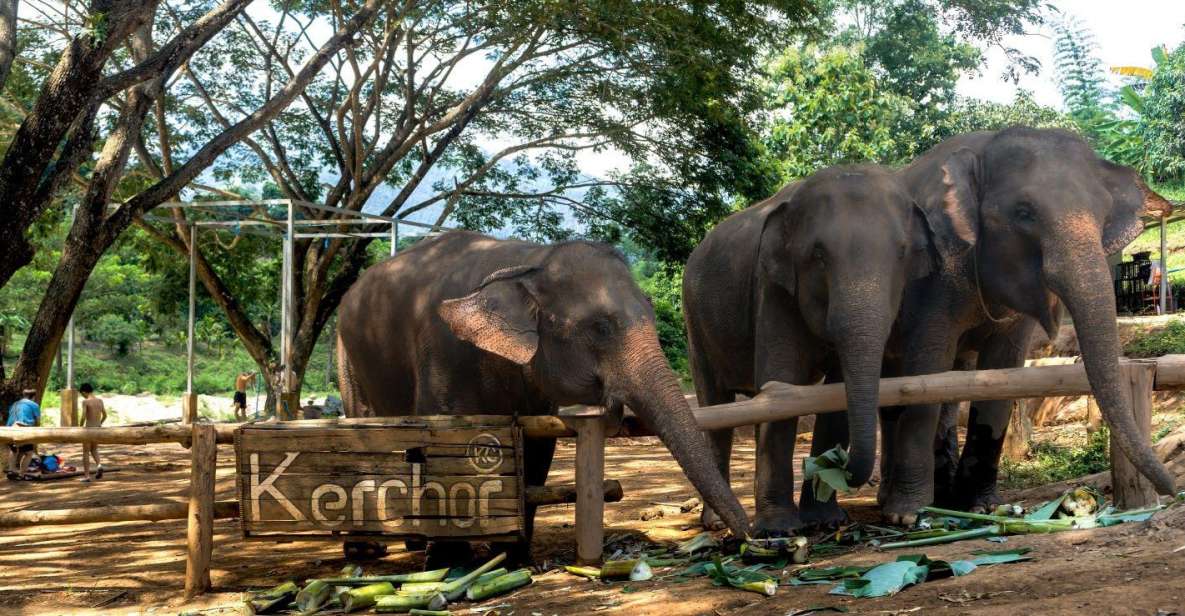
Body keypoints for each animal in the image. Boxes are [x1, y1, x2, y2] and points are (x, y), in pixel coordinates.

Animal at [336, 230, 752, 557]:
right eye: (601, 328)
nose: (751, 539)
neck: (528, 262)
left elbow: (535, 451)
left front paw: (512, 559)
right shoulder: (442, 354)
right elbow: (439, 448)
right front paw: (452, 566)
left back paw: (413, 543)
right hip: (346, 354)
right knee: (362, 439)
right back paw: (366, 549)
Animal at [682, 164, 936, 534]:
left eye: (902, 253)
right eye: (818, 256)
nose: (841, 463)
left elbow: (834, 396)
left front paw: (826, 520)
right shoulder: (772, 289)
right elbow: (780, 382)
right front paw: (779, 529)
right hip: (695, 324)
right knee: (715, 407)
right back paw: (715, 522)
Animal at [873, 126, 1177, 524]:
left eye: (1103, 213)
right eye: (1023, 213)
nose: (1171, 491)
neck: (984, 148)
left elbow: (1000, 372)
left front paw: (983, 506)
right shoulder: (934, 278)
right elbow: (926, 369)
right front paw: (907, 516)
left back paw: (943, 497)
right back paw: (892, 502)